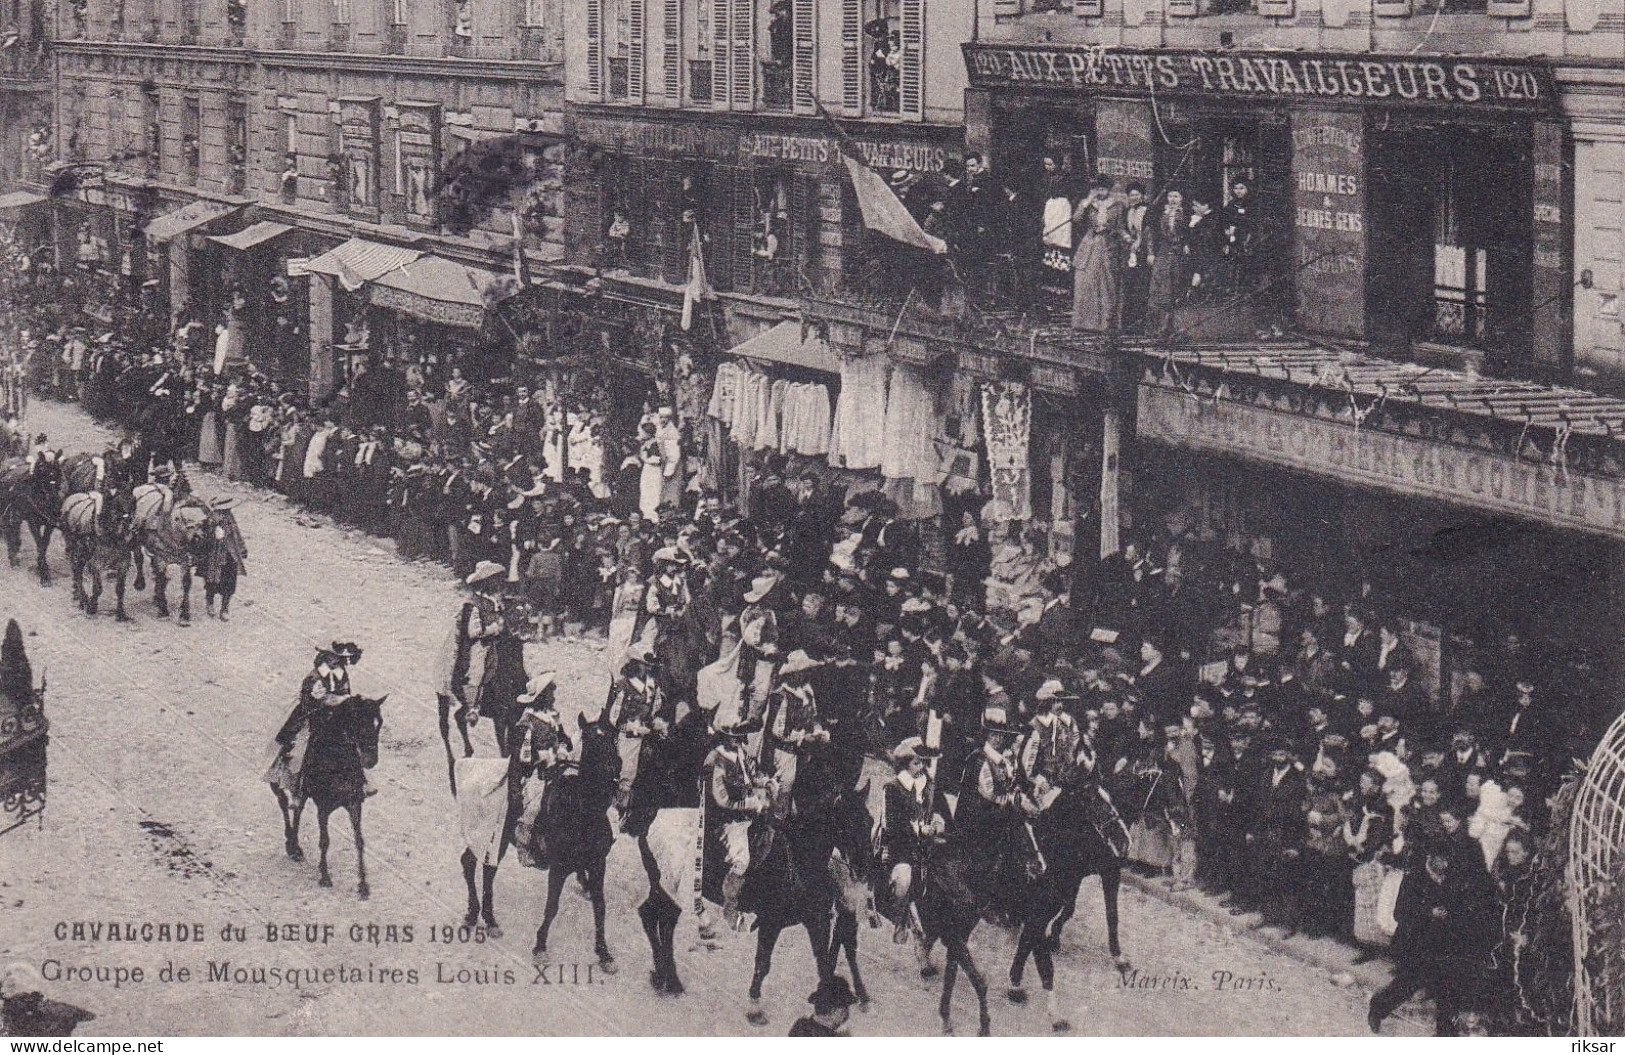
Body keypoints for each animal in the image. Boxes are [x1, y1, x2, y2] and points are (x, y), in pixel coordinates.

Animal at [0, 451, 62, 585]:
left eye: (58, 469)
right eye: (41, 469)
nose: (53, 498)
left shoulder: (50, 523)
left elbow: (44, 544)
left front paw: (42, 569)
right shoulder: (33, 523)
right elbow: (39, 543)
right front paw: (44, 574)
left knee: (13, 532)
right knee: (10, 532)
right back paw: (13, 559)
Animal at [59, 490, 135, 620]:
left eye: (133, 502)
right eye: (116, 505)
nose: (128, 523)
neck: (112, 537)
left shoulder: (123, 565)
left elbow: (120, 589)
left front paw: (120, 613)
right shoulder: (95, 565)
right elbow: (98, 588)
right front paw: (92, 607)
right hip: (77, 552)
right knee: (77, 573)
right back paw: (83, 599)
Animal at [273, 692, 390, 897]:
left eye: (379, 723)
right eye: (360, 722)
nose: (371, 760)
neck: (337, 763)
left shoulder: (354, 804)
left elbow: (359, 841)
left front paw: (363, 885)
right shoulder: (323, 808)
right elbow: (324, 841)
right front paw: (325, 877)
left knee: (297, 810)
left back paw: (295, 846)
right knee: (287, 805)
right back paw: (292, 845)